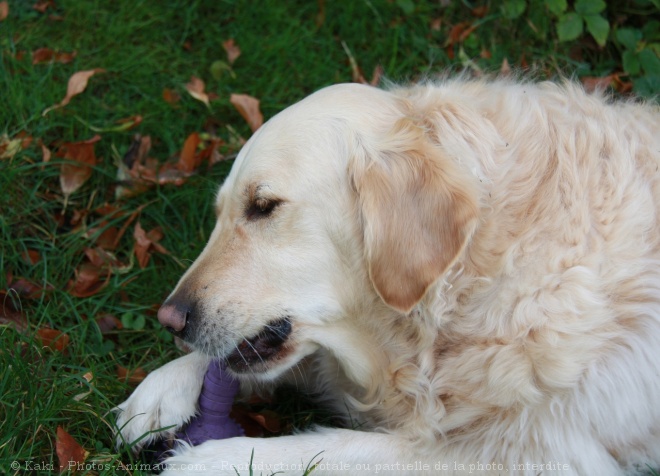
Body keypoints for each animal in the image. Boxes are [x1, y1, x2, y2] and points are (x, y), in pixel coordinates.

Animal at [114, 80, 660, 474]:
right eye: (221, 211)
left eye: (263, 205)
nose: (170, 320)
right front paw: (161, 392)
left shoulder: (539, 453)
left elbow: (341, 449)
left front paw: (219, 460)